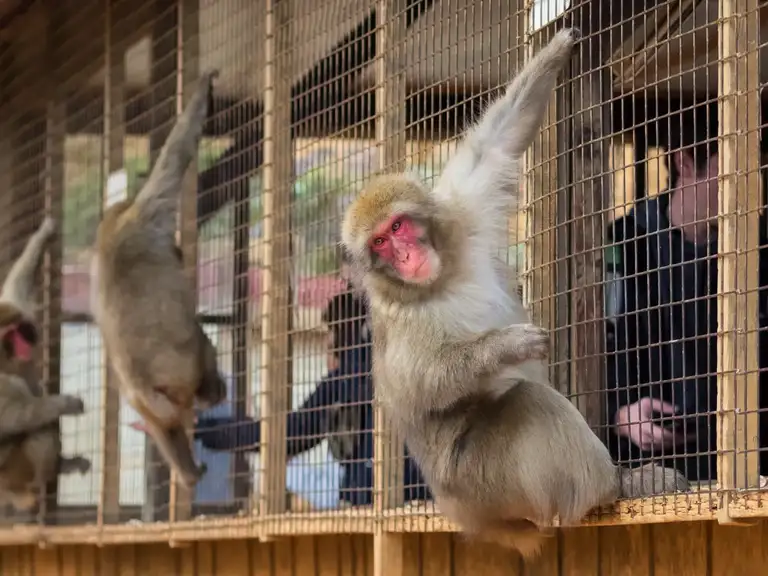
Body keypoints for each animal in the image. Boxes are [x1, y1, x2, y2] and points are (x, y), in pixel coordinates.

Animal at [0, 217, 89, 513]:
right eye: (10, 336)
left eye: (21, 331)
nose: (24, 345)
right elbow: (8, 418)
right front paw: (65, 404)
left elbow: (14, 290)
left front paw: (42, 235)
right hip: (13, 471)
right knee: (38, 426)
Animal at [90, 69, 226, 489]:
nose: (179, 251)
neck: (115, 225)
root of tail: (145, 390)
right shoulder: (149, 212)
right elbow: (177, 152)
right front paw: (203, 90)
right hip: (181, 370)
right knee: (202, 347)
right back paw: (214, 393)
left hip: (147, 405)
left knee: (164, 429)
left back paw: (188, 473)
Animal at [340, 29, 690, 559]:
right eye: (379, 242)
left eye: (398, 226)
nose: (403, 255)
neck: (438, 279)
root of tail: (464, 511)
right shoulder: (396, 323)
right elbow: (422, 387)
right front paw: (507, 346)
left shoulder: (460, 212)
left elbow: (495, 145)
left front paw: (557, 49)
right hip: (482, 480)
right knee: (530, 403)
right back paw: (612, 486)